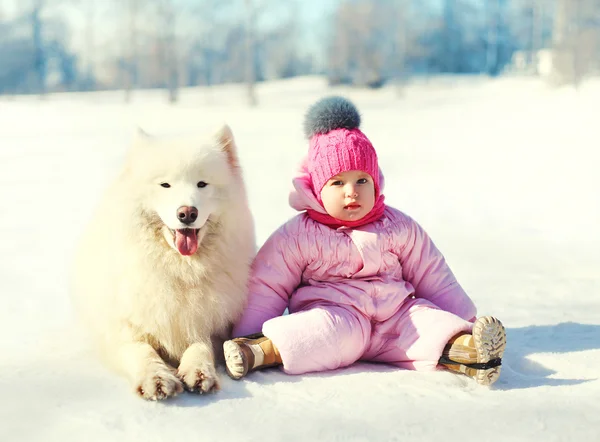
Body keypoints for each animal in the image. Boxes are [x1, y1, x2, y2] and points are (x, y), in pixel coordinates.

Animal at [72, 124, 255, 400]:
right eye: (165, 185)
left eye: (202, 184)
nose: (187, 213)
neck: (179, 270)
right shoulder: (122, 330)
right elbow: (141, 351)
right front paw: (156, 378)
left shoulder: (207, 325)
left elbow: (201, 345)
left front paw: (199, 371)